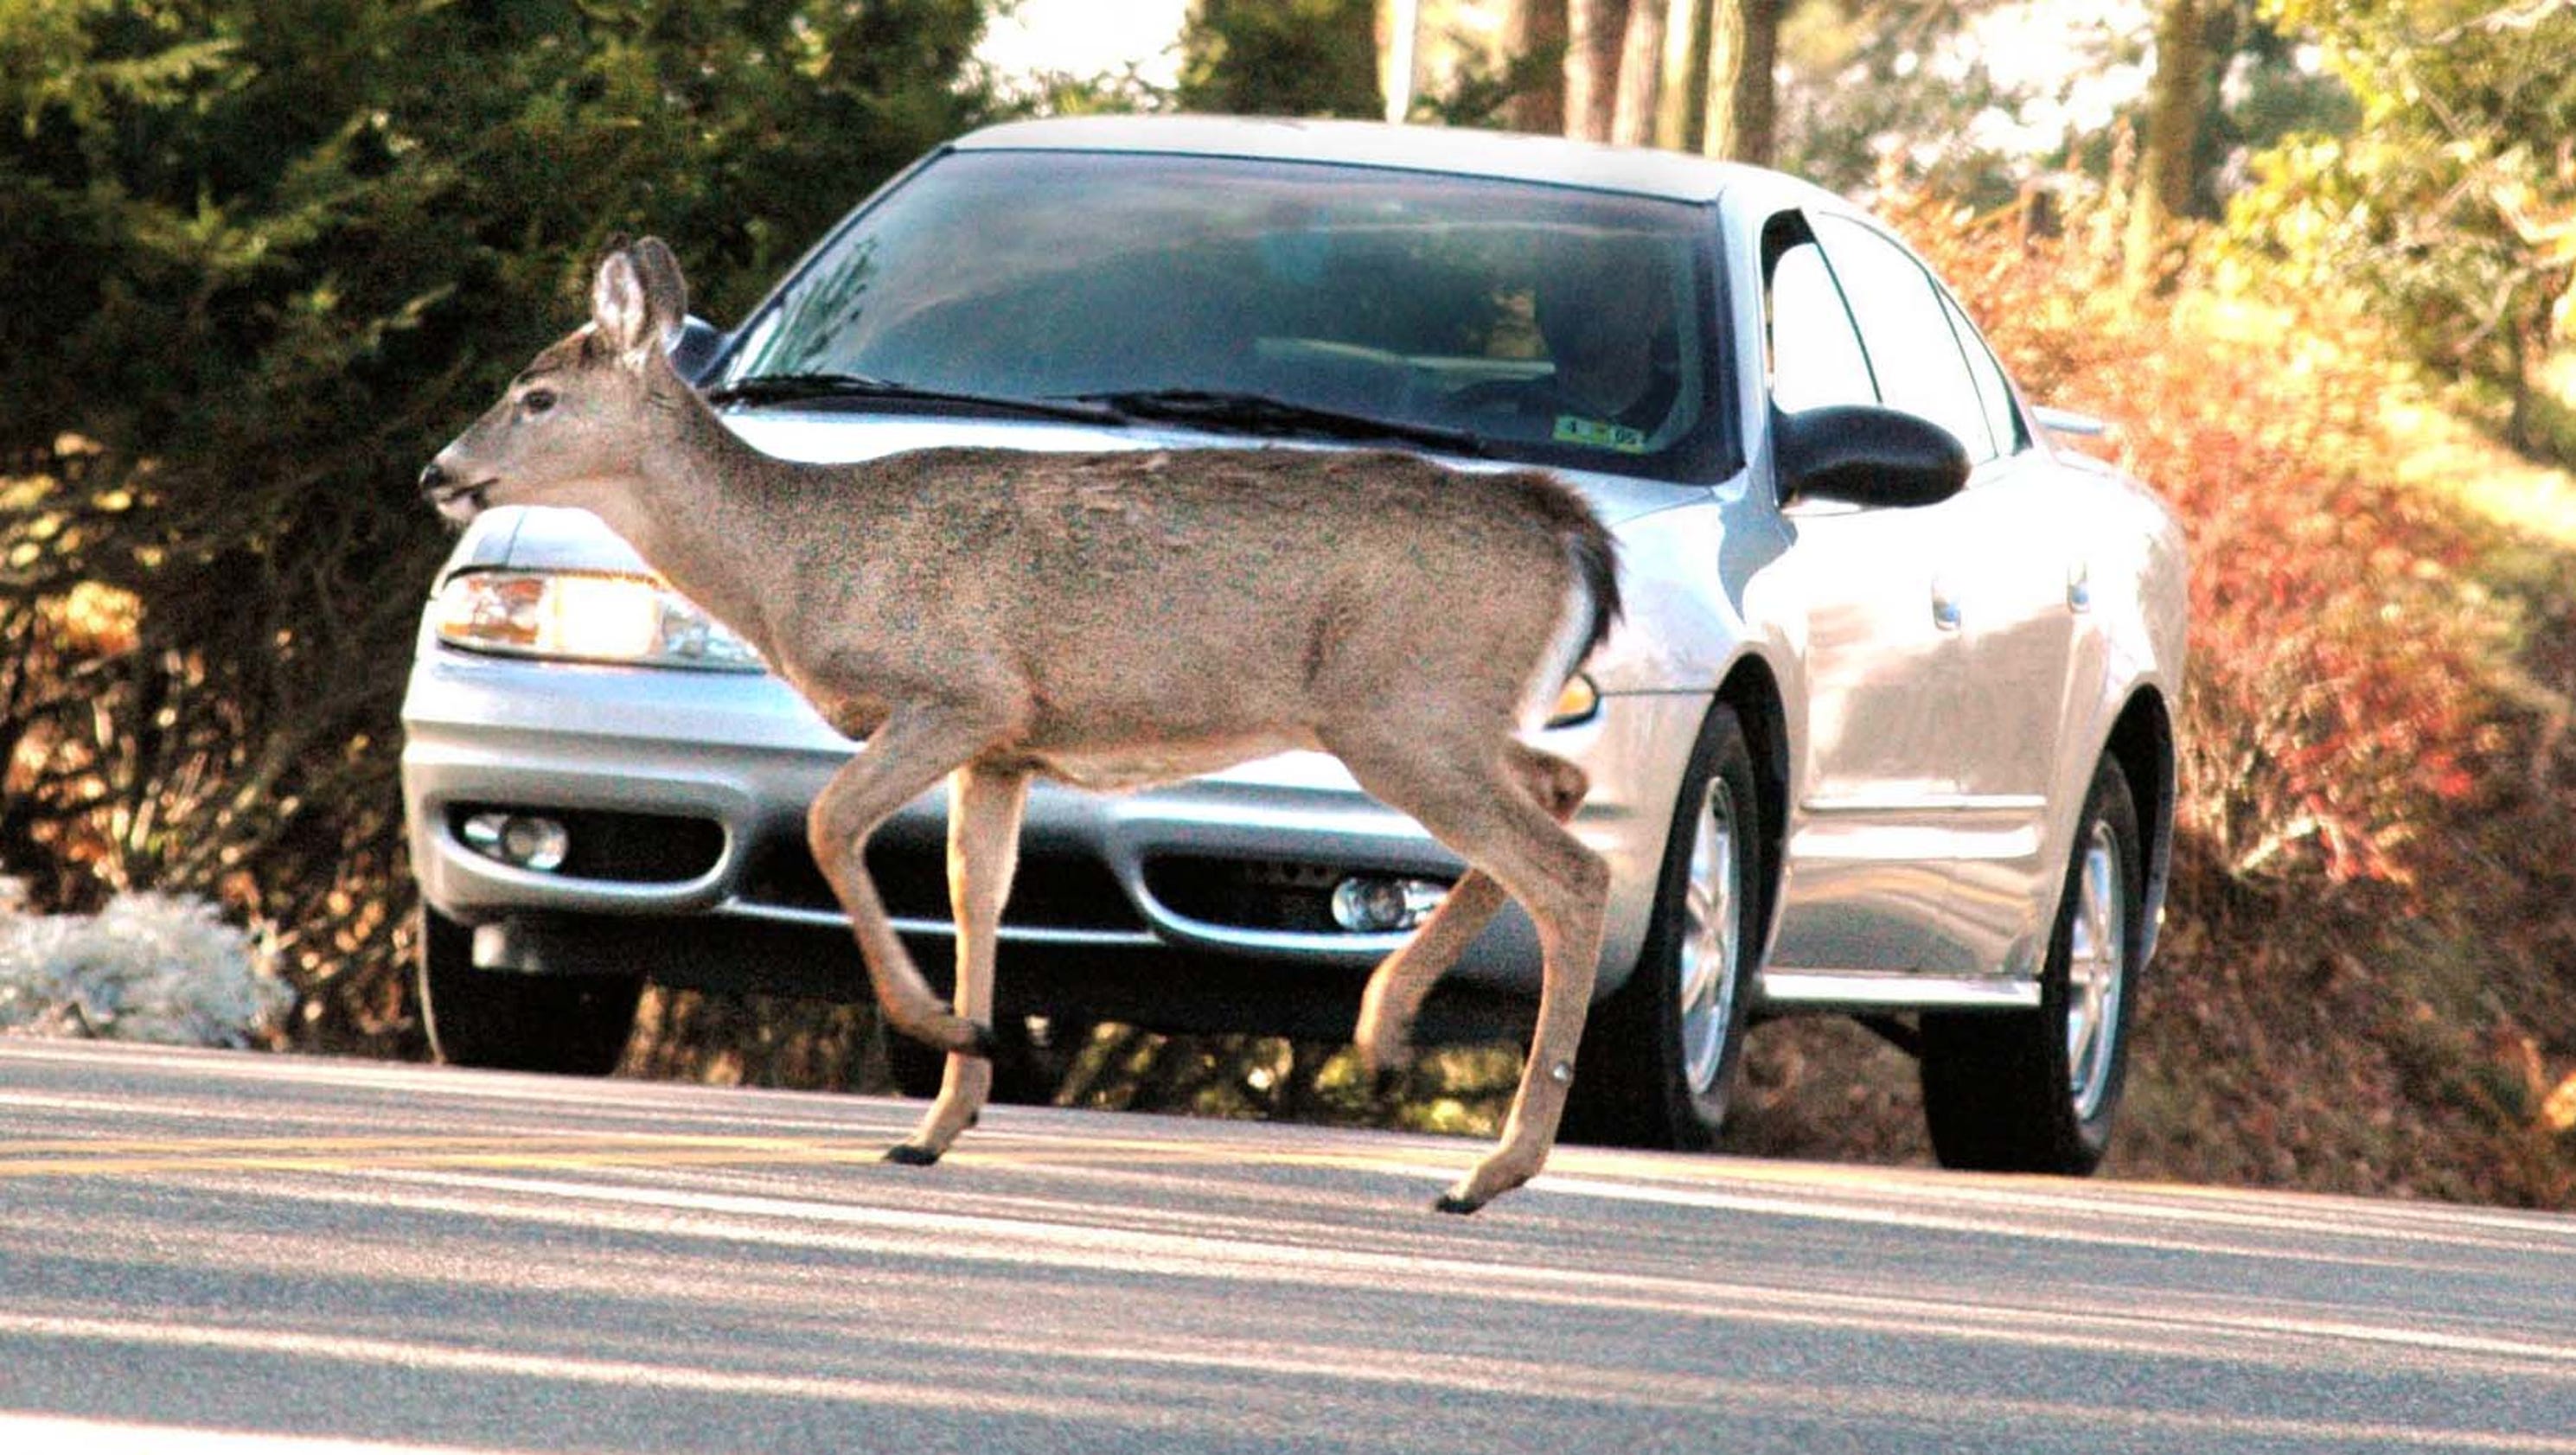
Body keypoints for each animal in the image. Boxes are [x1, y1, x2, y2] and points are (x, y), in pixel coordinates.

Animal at [418, 238, 1621, 1213]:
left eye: (536, 397)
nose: (439, 473)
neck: (802, 564)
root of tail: (1569, 533)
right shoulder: (1004, 750)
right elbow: (975, 892)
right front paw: (939, 1123)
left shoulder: (962, 694)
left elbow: (831, 825)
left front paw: (946, 1034)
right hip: (1446, 715)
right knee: (1560, 793)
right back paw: (1388, 1028)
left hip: (1399, 711)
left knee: (1574, 872)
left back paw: (1487, 1168)